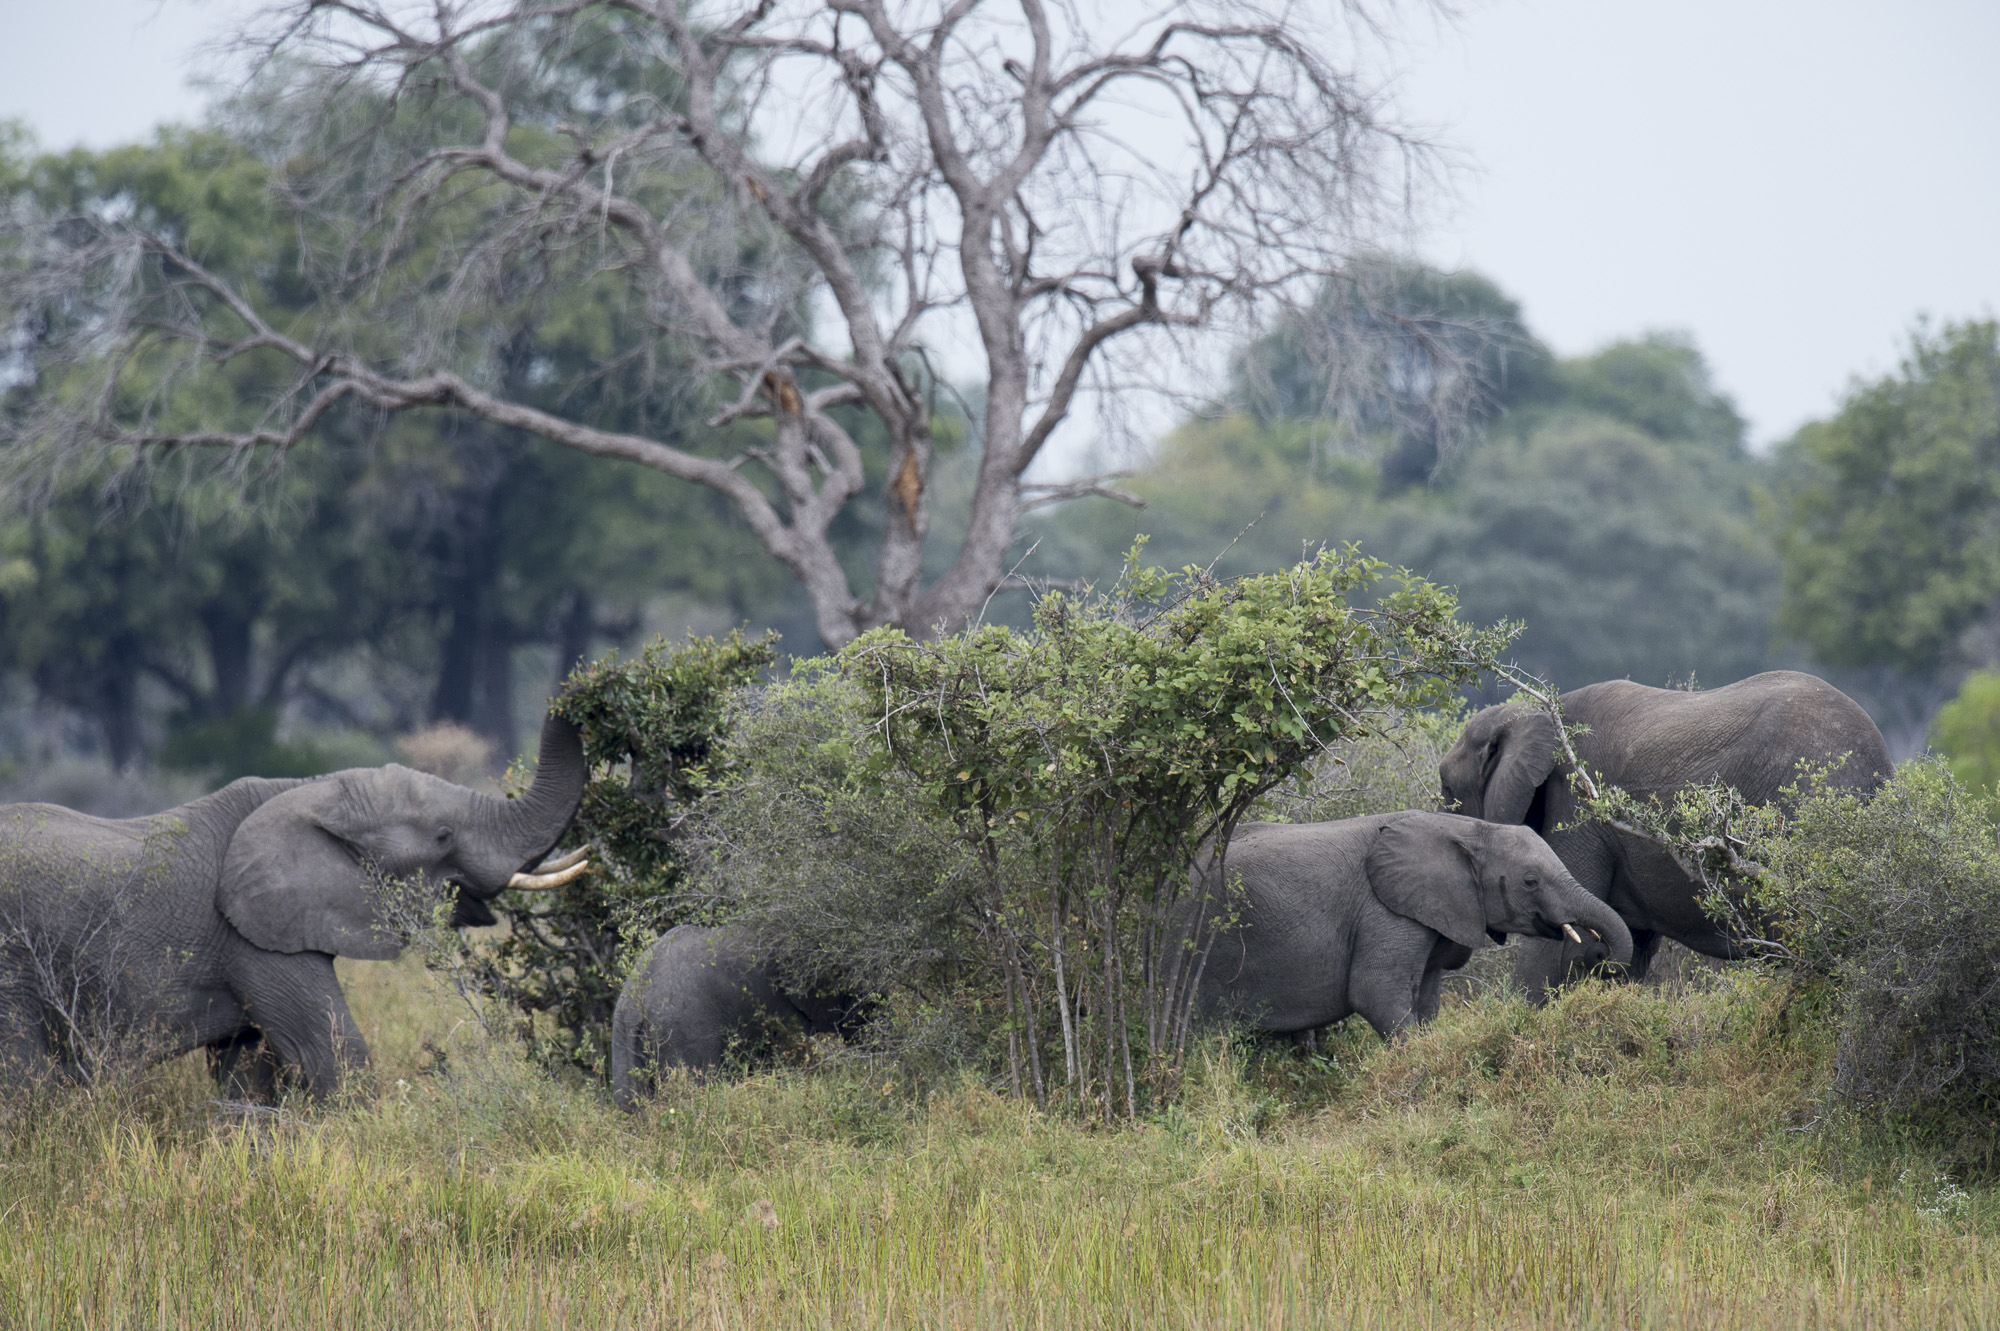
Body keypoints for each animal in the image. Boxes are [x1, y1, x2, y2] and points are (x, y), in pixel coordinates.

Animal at [0, 714, 589, 1099]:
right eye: (443, 836)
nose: (573, 700)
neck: (308, 791)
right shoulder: (252, 937)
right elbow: (328, 1052)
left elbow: (247, 1069)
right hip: (13, 969)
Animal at [1193, 811, 1633, 1040]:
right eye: (1530, 881)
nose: (1599, 954)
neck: (1465, 829)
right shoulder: (1383, 910)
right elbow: (1375, 993)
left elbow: (1426, 999)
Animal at [1438, 670, 1891, 999]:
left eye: (1446, 788)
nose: (1600, 955)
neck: (1525, 712)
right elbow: (1631, 945)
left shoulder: (1579, 804)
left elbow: (1551, 948)